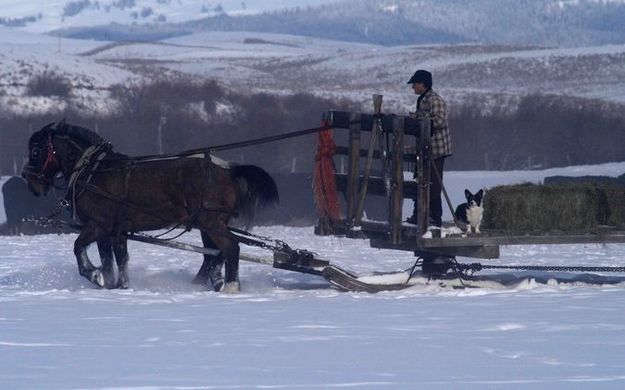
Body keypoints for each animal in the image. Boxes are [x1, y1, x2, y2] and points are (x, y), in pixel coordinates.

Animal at [21, 122, 278, 292]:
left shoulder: (99, 225)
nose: (29, 179)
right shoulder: (113, 231)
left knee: (231, 248)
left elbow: (79, 248)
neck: (94, 171)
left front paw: (94, 276)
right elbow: (114, 260)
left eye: (35, 150)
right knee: (214, 255)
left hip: (212, 222)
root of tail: (229, 170)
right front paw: (115, 284)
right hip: (208, 224)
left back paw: (231, 287)